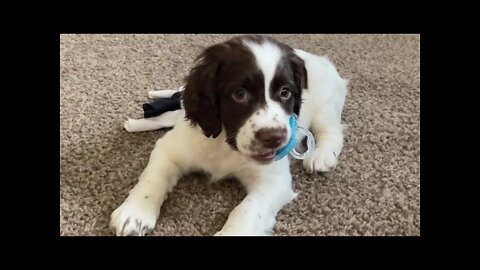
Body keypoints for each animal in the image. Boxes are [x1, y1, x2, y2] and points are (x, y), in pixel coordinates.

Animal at [110, 34, 346, 235]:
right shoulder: (171, 149)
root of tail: (318, 58)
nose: (275, 138)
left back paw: (321, 156)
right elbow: (153, 177)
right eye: (239, 94)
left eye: (285, 92)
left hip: (324, 105)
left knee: (332, 131)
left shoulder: (273, 181)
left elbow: (247, 211)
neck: (226, 143)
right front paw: (135, 212)